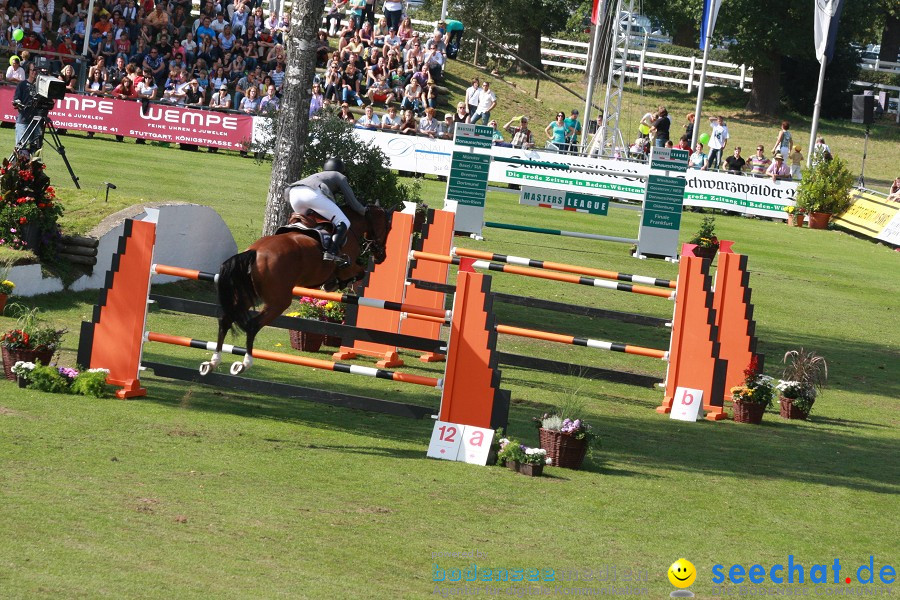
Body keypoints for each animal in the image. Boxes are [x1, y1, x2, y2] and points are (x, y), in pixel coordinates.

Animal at [202, 206, 392, 376]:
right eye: (388, 228)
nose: (381, 257)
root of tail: (254, 252)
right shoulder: (347, 267)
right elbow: (358, 272)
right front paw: (336, 284)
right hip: (279, 301)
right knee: (253, 325)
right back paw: (244, 364)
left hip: (250, 296)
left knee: (225, 321)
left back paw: (213, 362)